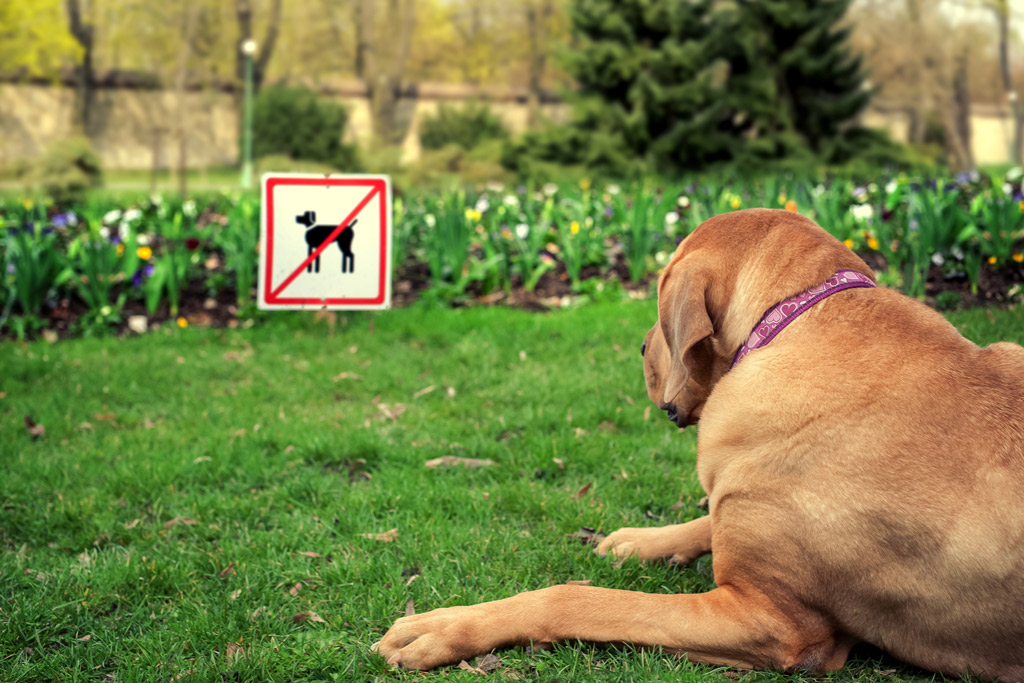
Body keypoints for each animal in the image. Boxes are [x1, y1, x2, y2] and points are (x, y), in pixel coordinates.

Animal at [374, 210, 1024, 679]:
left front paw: (440, 628)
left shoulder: (773, 621)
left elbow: (579, 598)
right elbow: (708, 516)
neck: (794, 320)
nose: (640, 348)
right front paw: (642, 542)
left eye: (659, 309)